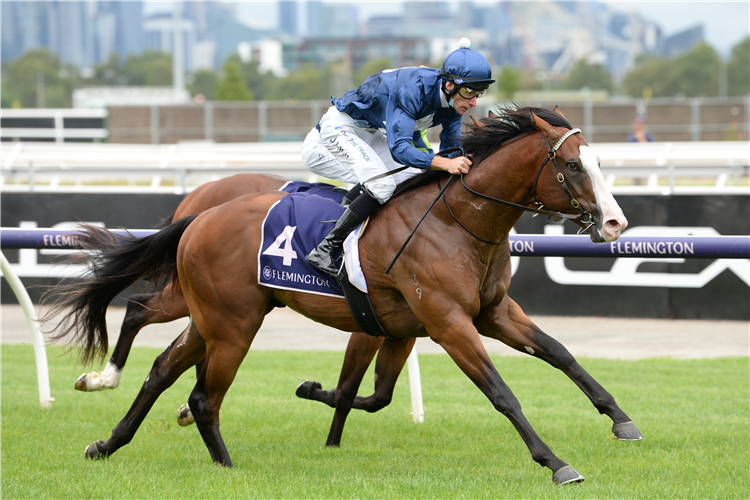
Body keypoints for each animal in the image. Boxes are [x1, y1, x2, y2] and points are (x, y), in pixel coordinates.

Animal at [47, 106, 644, 484]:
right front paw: (556, 463)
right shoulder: (448, 321)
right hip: (231, 323)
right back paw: (220, 462)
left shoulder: (491, 313)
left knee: (163, 371)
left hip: (212, 317)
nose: (615, 223)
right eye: (573, 166)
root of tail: (200, 215)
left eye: (597, 163)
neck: (458, 221)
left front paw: (621, 419)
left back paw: (107, 442)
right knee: (196, 387)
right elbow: (501, 393)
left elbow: (560, 354)